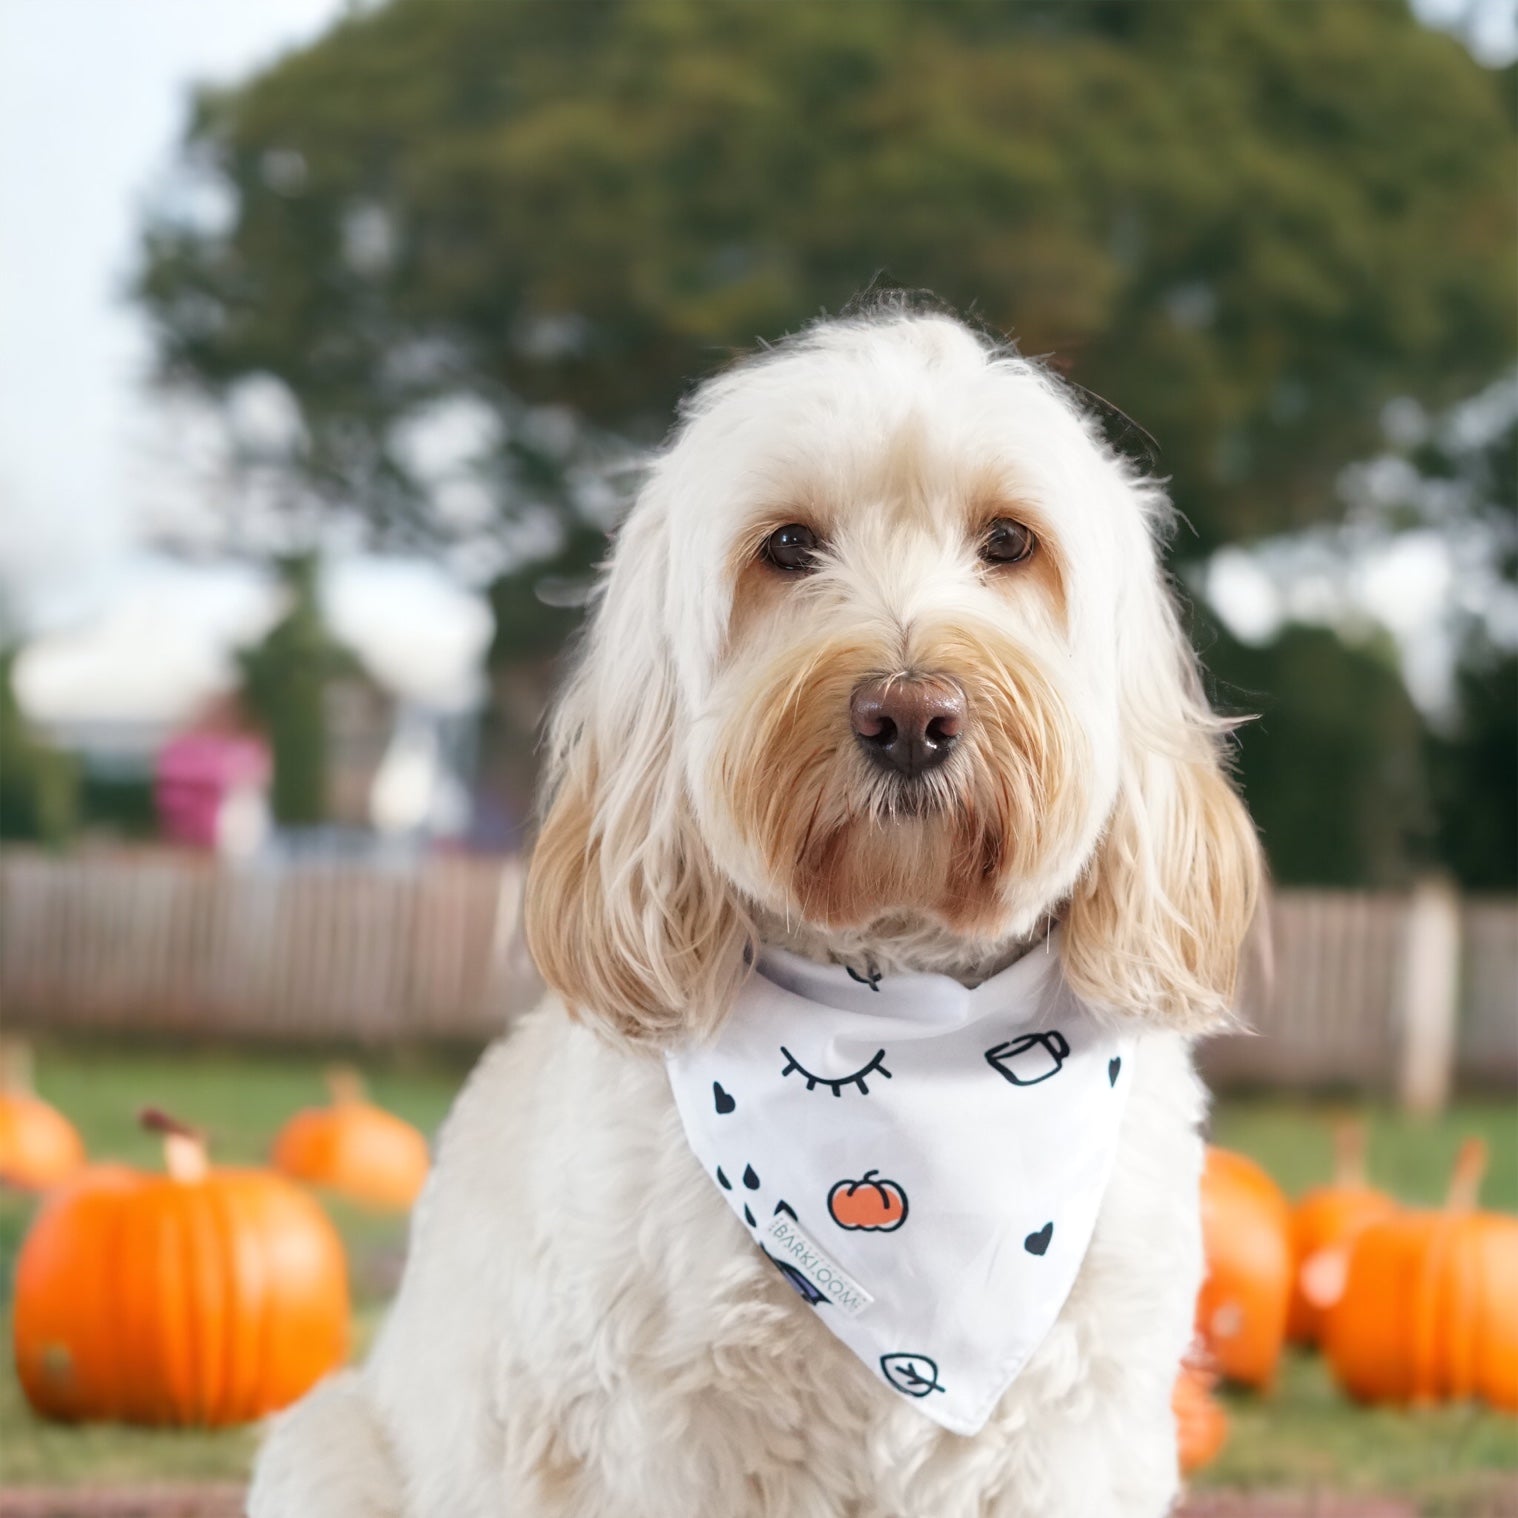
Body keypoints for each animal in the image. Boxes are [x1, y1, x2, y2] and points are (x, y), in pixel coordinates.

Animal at [248, 305, 1256, 1518]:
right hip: (325, 1444)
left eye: (1011, 541)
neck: (901, 1003)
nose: (909, 713)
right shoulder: (669, 1431)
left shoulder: (1076, 1429)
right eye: (786, 547)